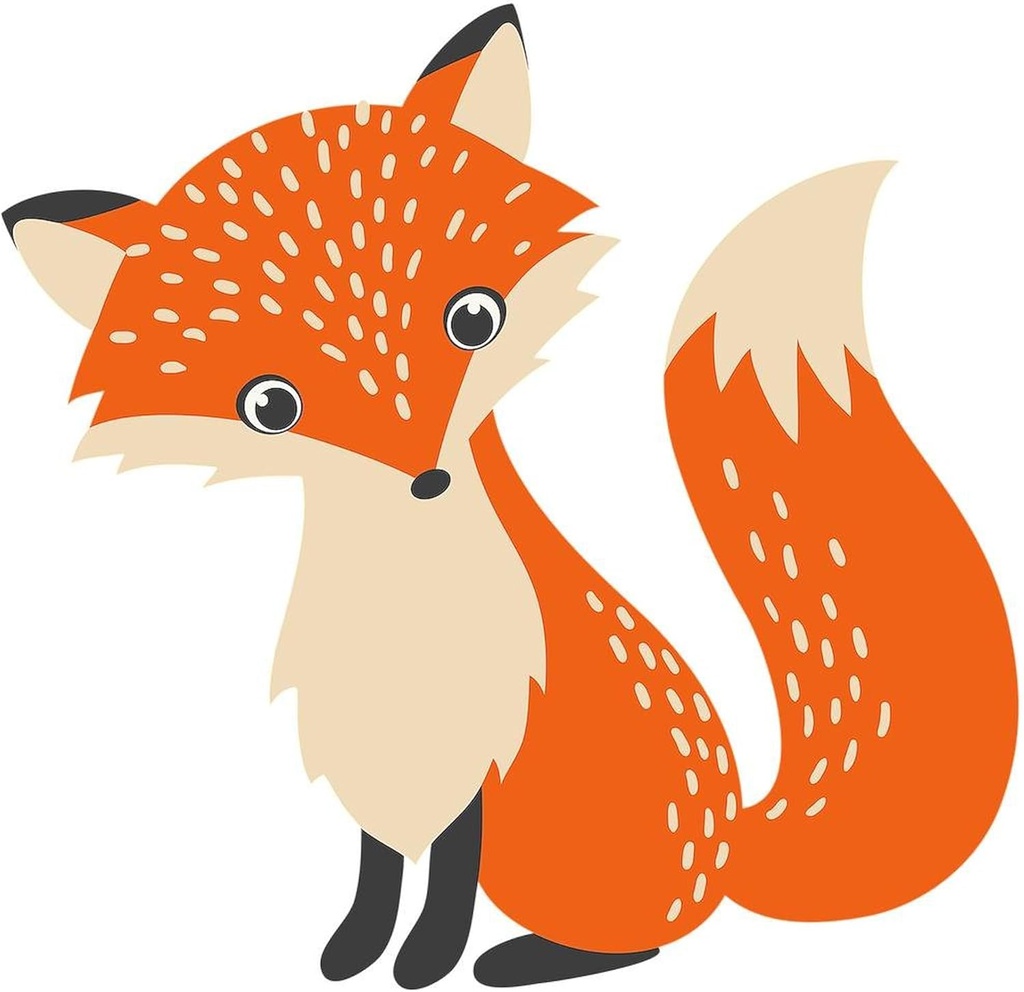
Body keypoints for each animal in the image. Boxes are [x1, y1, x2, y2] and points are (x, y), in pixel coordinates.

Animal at [2, 4, 1018, 989]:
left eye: (474, 319)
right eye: (271, 406)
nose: (428, 477)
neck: (404, 630)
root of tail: (729, 843)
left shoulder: (484, 758)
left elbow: (448, 879)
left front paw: (425, 964)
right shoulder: (370, 756)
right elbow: (376, 872)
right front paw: (354, 953)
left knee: (647, 944)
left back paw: (523, 960)